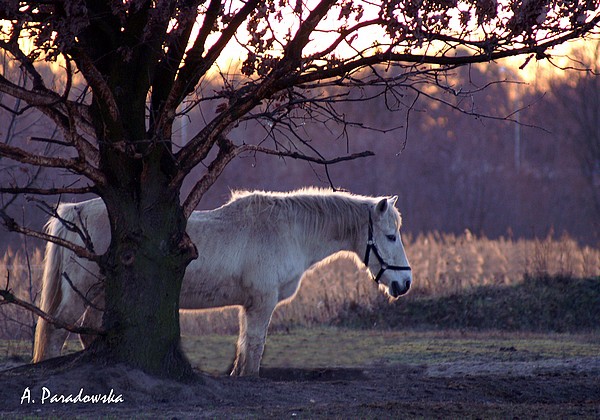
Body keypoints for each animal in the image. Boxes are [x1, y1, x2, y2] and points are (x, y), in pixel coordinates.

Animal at [32, 189, 412, 376]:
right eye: (390, 236)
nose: (404, 283)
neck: (287, 230)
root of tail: (76, 211)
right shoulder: (262, 303)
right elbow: (254, 348)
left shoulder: (249, 306)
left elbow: (243, 348)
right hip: (81, 292)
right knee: (58, 330)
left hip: (97, 294)